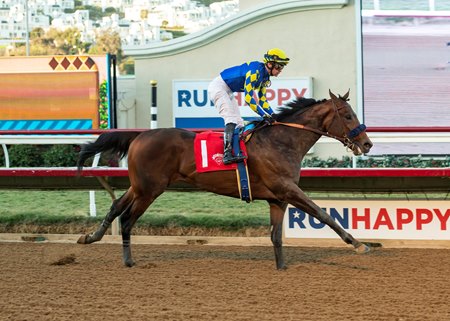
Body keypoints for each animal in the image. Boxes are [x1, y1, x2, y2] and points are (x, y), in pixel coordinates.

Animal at [76, 89, 372, 268]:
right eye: (348, 115)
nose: (367, 143)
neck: (282, 140)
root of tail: (138, 135)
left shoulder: (277, 199)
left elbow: (276, 236)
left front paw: (282, 267)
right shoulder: (288, 190)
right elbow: (323, 214)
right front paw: (359, 244)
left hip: (139, 186)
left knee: (116, 206)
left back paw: (90, 237)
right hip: (150, 190)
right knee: (127, 219)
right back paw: (128, 261)